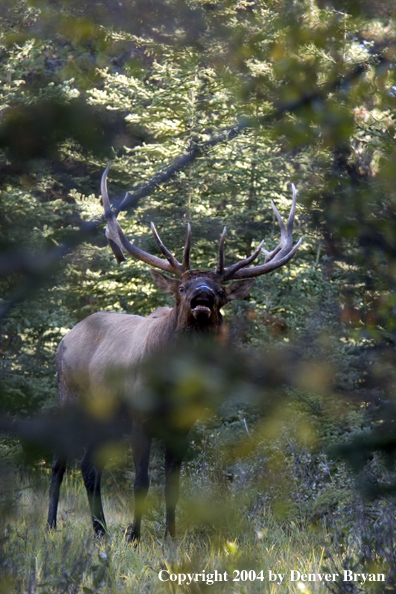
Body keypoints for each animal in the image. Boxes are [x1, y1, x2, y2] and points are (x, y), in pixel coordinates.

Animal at [46, 164, 300, 540]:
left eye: (221, 291)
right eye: (182, 286)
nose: (203, 295)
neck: (172, 383)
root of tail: (67, 337)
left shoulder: (183, 424)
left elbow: (173, 486)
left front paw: (170, 537)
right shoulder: (140, 417)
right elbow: (141, 482)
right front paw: (134, 537)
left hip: (107, 419)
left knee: (90, 466)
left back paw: (101, 530)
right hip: (71, 396)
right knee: (60, 461)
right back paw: (52, 526)